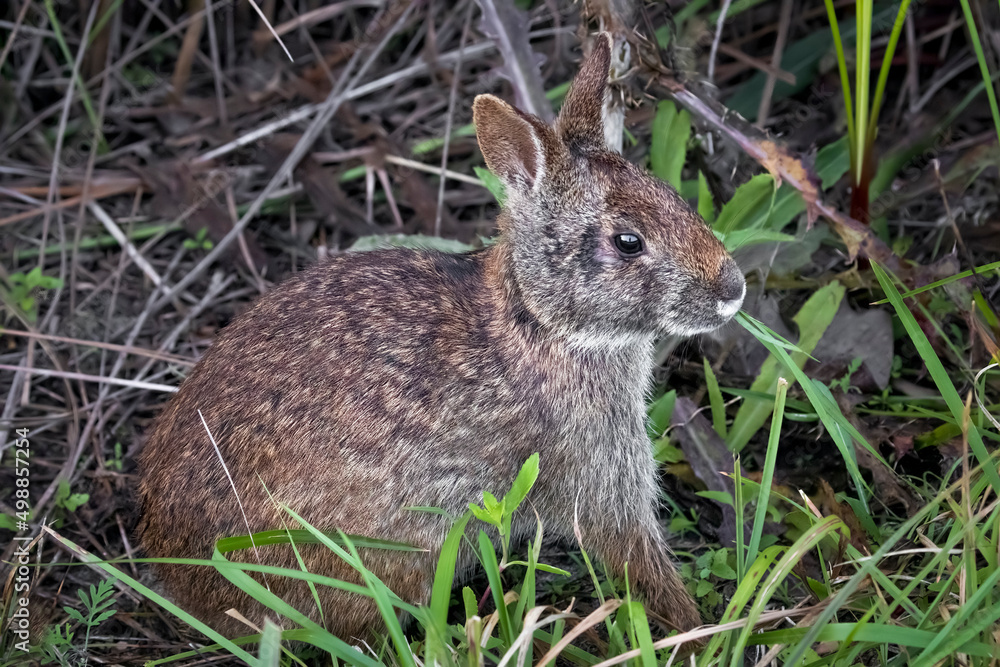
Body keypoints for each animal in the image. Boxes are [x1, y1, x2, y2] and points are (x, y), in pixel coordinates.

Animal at [137, 33, 746, 643]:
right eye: (627, 242)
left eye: (671, 194)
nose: (733, 288)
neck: (541, 322)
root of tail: (179, 573)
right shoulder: (594, 469)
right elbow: (633, 553)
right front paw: (698, 629)